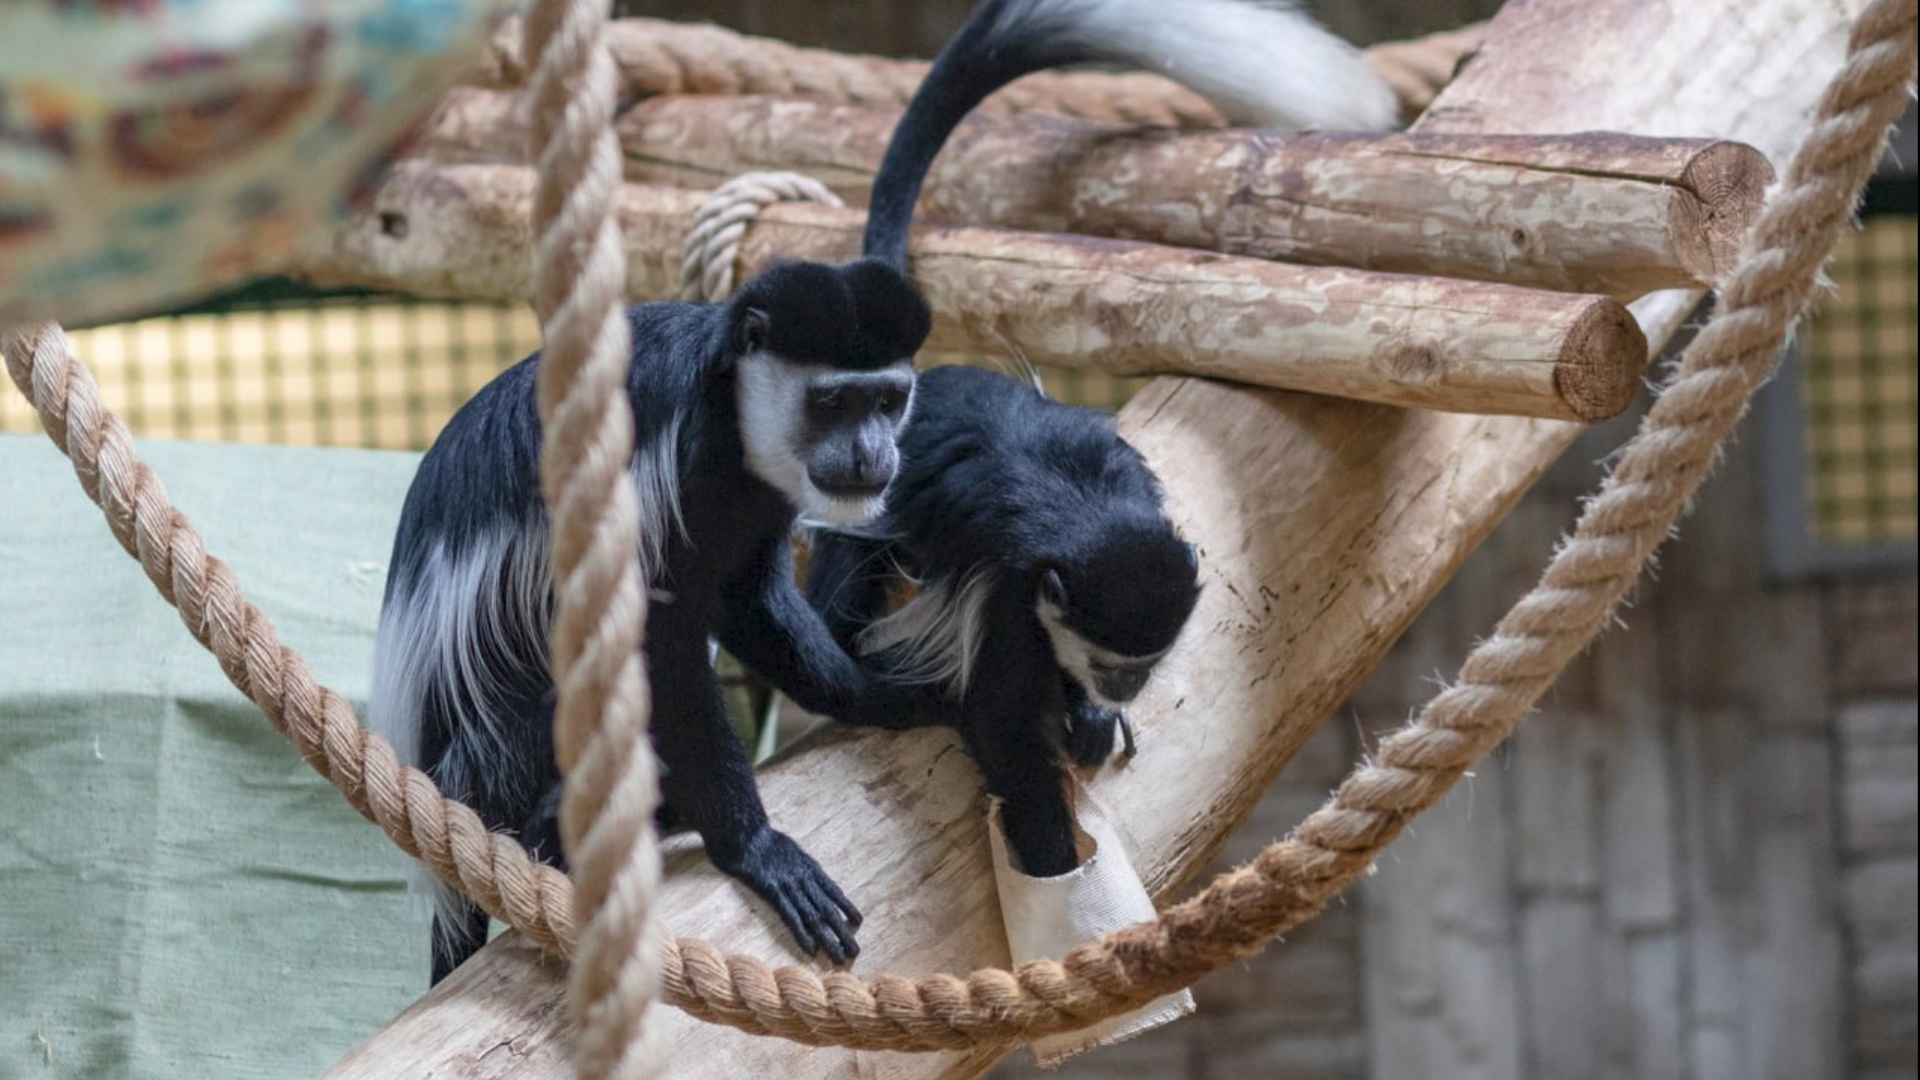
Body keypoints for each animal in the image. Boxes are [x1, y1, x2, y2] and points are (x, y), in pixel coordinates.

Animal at [368, 259, 936, 976]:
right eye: (833, 403)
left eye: (887, 401)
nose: (870, 456)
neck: (728, 410)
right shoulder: (667, 472)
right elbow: (655, 649)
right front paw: (756, 848)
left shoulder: (757, 500)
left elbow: (751, 602)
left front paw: (878, 695)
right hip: (498, 755)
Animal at [802, 0, 1390, 876]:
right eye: (1115, 663)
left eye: (1142, 667)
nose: (1119, 691)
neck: (1082, 509)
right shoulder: (1011, 593)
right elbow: (1001, 717)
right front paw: (1051, 853)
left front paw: (1084, 719)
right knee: (845, 573)